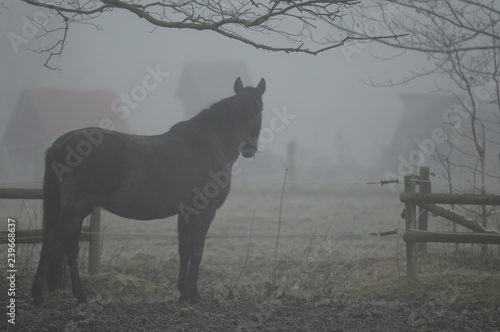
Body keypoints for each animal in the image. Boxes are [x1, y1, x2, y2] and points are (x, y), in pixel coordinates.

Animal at [31, 78, 266, 306]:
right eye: (261, 108)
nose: (251, 150)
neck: (209, 142)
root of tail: (63, 142)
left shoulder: (186, 213)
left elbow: (184, 250)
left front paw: (183, 294)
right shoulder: (205, 212)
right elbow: (197, 250)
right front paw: (195, 295)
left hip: (77, 211)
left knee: (71, 250)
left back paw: (81, 295)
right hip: (76, 209)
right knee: (52, 243)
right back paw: (38, 296)